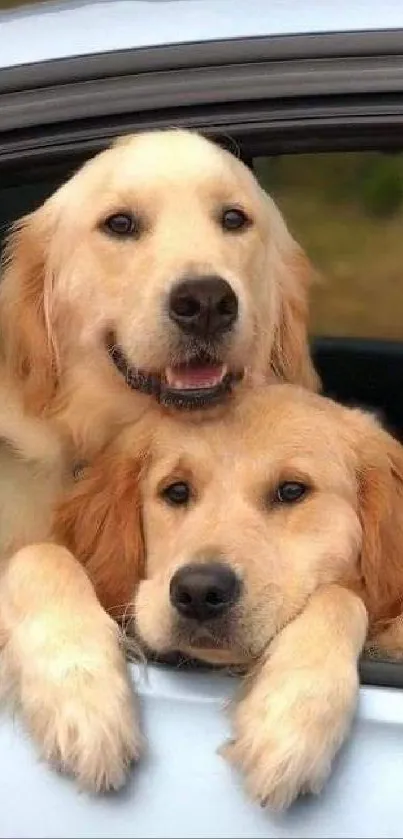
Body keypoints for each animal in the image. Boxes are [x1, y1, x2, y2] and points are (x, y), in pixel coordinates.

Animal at [27, 386, 400, 808]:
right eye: (176, 491)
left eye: (292, 490)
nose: (199, 592)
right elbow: (39, 554)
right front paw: (83, 699)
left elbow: (341, 597)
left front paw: (289, 713)